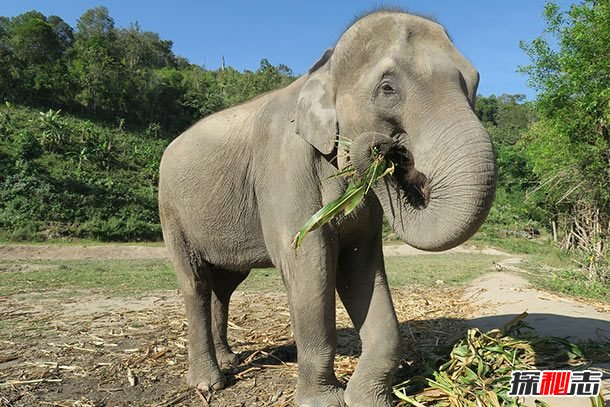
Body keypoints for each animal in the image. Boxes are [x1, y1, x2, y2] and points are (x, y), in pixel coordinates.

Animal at [157, 7, 494, 406]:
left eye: (474, 82)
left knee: (224, 285)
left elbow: (360, 266)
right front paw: (325, 400)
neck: (323, 68)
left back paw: (229, 359)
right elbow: (309, 263)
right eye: (387, 88)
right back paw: (209, 383)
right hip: (170, 210)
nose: (383, 149)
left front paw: (367, 398)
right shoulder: (285, 166)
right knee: (195, 282)